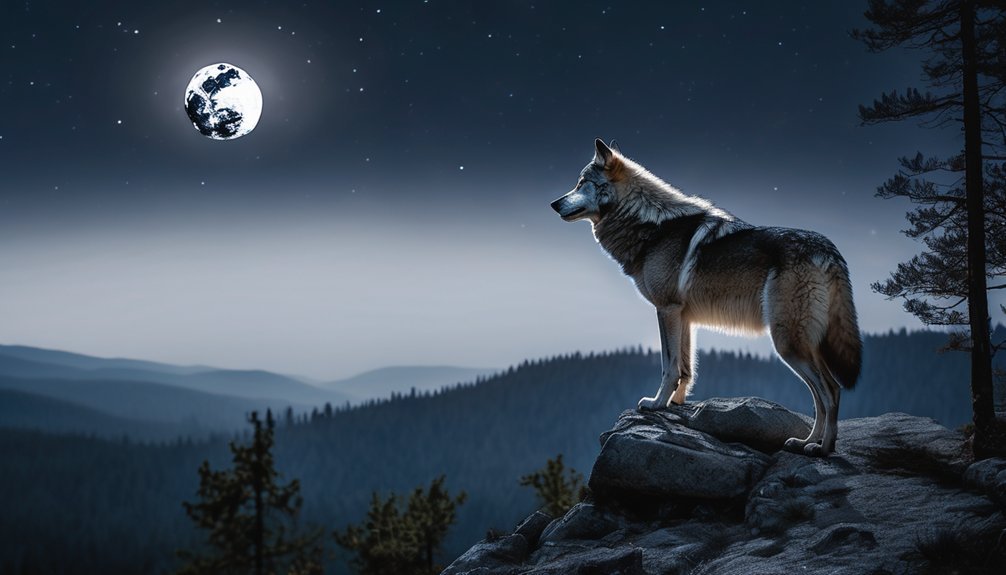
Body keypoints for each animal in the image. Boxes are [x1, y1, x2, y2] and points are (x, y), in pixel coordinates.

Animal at [550, 139, 862, 456]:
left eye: (581, 183)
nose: (554, 203)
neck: (652, 226)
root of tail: (829, 250)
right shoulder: (684, 317)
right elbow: (686, 368)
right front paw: (676, 403)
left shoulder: (667, 309)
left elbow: (669, 365)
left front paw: (657, 404)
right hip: (804, 344)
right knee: (826, 393)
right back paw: (806, 442)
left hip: (788, 344)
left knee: (830, 391)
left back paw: (823, 448)